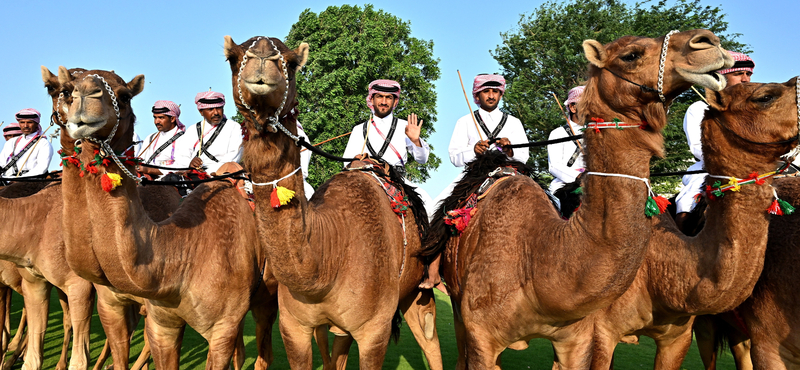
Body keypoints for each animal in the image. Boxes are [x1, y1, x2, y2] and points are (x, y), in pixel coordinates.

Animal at [54, 67, 276, 370]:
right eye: (65, 90)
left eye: (124, 96)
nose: (85, 96)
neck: (179, 255)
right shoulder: (156, 319)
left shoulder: (222, 327)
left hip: (269, 294)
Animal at [225, 35, 444, 370]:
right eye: (233, 58)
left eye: (292, 63)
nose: (262, 57)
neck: (329, 253)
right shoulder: (294, 327)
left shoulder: (374, 331)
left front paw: (414, 133)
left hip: (415, 292)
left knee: (431, 340)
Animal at [422, 28, 736, 368]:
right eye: (631, 55)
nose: (707, 42)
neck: (536, 258)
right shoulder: (482, 337)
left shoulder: (578, 338)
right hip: (457, 303)